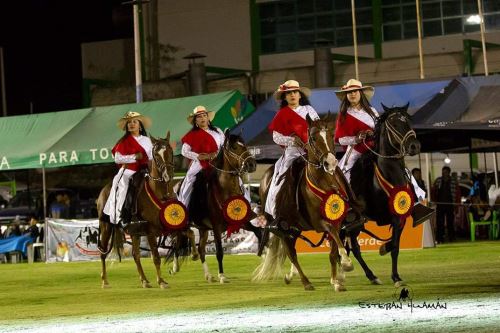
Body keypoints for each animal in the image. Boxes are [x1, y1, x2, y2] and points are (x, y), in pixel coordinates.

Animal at [96, 132, 195, 288]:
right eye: (156, 154)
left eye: (170, 150)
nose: (167, 175)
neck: (161, 194)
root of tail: (103, 191)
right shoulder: (151, 232)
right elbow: (156, 257)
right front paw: (161, 281)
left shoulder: (171, 225)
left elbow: (188, 234)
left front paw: (193, 256)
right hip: (106, 227)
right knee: (103, 252)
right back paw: (105, 281)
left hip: (134, 233)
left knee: (136, 255)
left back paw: (144, 280)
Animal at [170, 131, 260, 282]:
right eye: (234, 147)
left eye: (245, 144)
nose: (252, 164)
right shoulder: (217, 227)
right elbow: (219, 251)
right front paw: (222, 275)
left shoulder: (241, 221)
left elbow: (258, 232)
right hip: (183, 223)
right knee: (179, 240)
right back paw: (176, 266)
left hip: (203, 228)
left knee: (200, 248)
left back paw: (208, 275)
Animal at [254, 114, 360, 290]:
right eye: (313, 138)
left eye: (331, 135)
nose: (331, 163)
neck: (323, 184)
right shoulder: (319, 222)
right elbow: (333, 235)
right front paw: (346, 263)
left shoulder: (337, 220)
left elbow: (333, 250)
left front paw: (335, 281)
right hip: (282, 229)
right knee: (291, 254)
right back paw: (306, 282)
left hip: (294, 229)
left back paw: (291, 276)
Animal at [346, 102, 420, 286]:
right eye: (394, 124)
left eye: (409, 121)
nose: (414, 146)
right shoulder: (392, 217)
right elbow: (393, 246)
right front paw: (396, 277)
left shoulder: (400, 218)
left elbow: (395, 245)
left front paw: (395, 273)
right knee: (353, 248)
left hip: (355, 225)